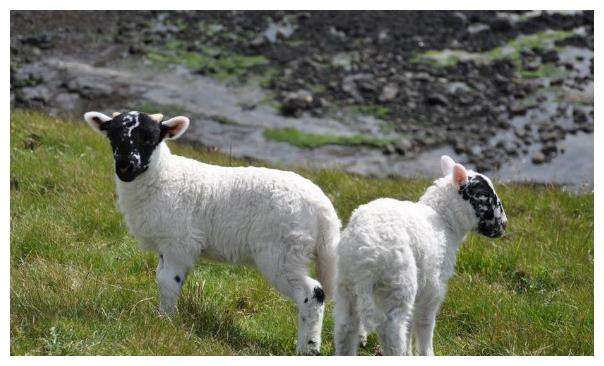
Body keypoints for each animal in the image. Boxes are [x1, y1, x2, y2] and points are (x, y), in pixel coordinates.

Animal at [82, 111, 342, 354]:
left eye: (149, 138)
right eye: (113, 136)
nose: (126, 166)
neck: (162, 176)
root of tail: (323, 209)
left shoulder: (179, 243)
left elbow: (168, 282)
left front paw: (165, 322)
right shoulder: (168, 245)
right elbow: (162, 277)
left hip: (282, 251)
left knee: (313, 293)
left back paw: (308, 348)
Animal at [332, 154, 508, 354]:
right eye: (486, 197)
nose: (505, 225)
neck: (443, 219)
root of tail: (365, 259)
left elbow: (410, 327)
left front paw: (410, 352)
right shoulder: (433, 286)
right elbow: (425, 323)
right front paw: (426, 353)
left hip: (346, 285)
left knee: (345, 328)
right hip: (398, 284)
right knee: (392, 332)